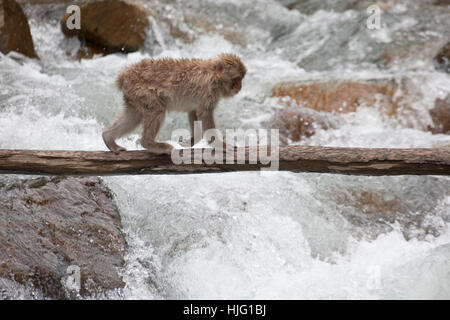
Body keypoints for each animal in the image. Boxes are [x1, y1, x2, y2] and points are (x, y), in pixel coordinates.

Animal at [102, 53, 246, 154]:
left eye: (241, 79)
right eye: (237, 79)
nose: (240, 87)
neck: (213, 74)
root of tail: (124, 76)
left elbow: (194, 113)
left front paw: (191, 141)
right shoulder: (208, 90)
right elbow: (204, 113)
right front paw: (221, 146)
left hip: (134, 96)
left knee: (133, 117)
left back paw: (108, 138)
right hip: (142, 92)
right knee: (157, 110)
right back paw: (149, 143)